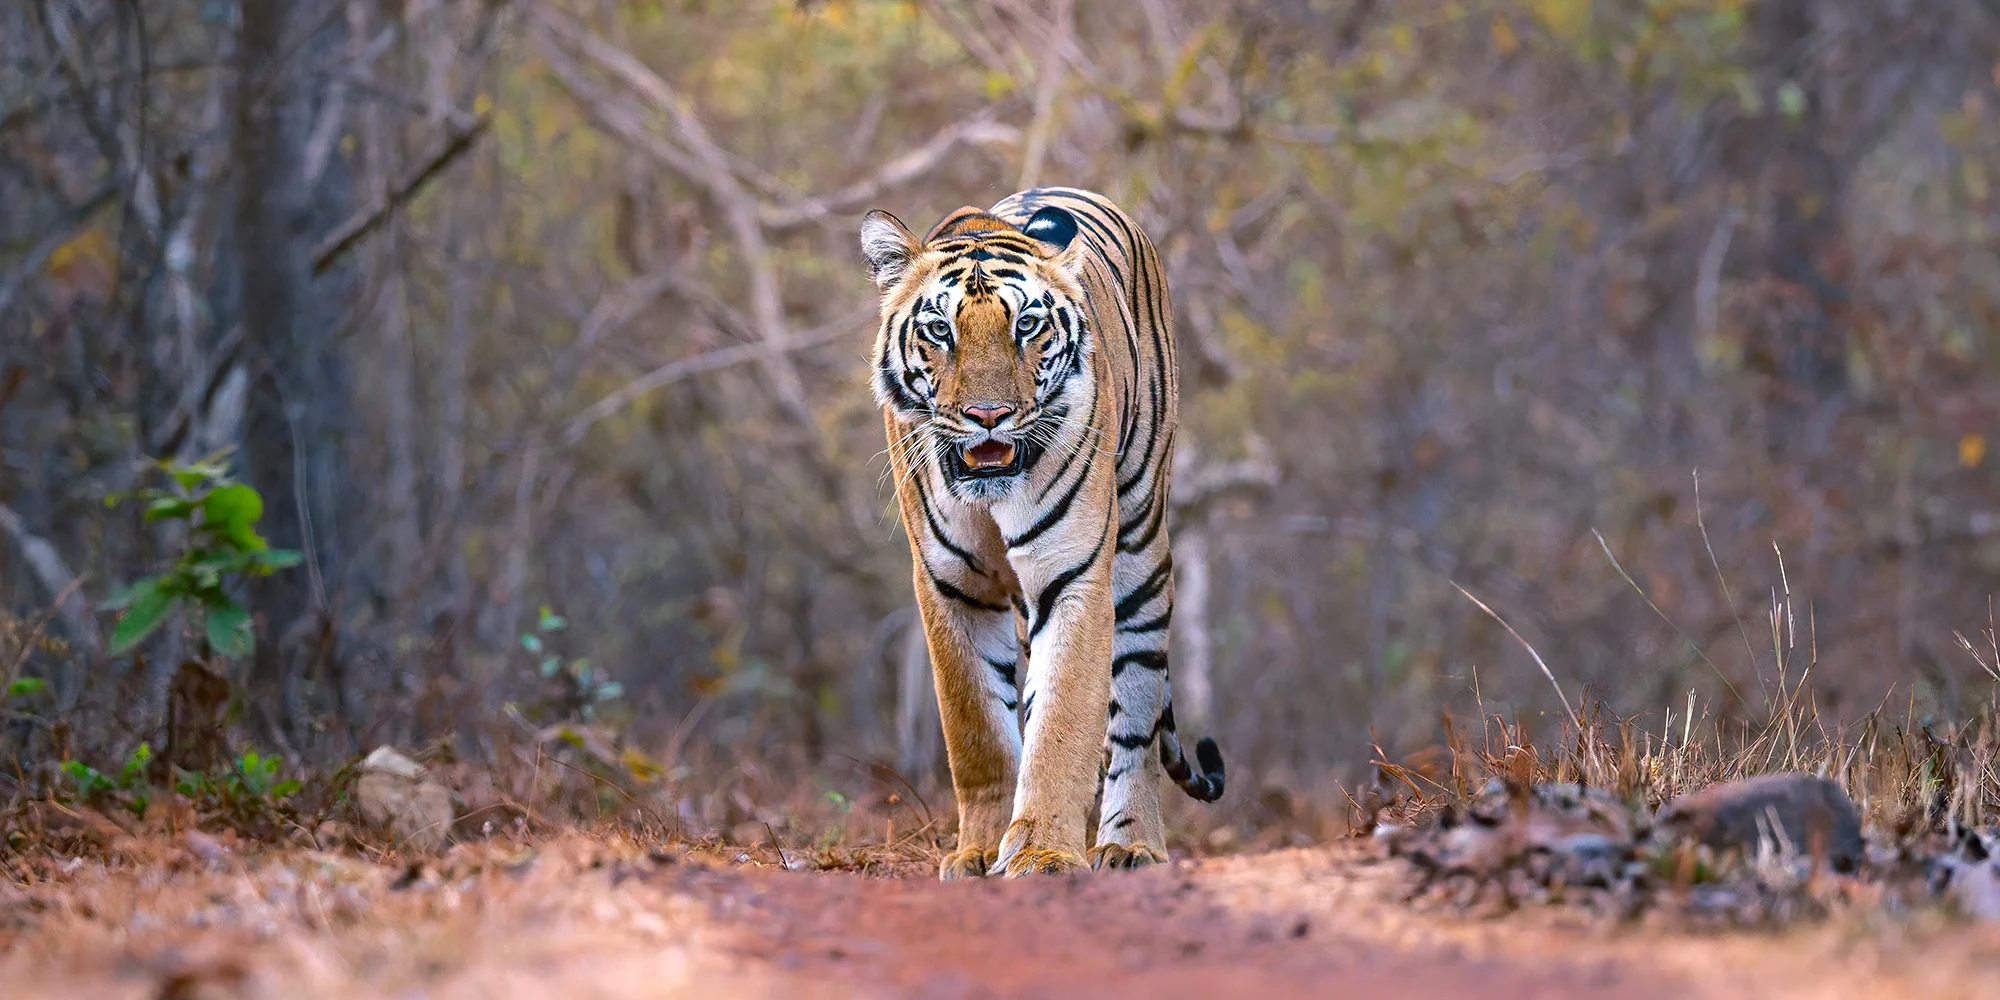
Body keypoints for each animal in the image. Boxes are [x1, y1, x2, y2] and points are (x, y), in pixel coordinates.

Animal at [859, 186, 1225, 879]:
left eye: (1026, 326)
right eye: (940, 330)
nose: (988, 416)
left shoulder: (1074, 574)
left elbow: (1061, 722)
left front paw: (1046, 852)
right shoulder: (950, 586)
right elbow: (977, 730)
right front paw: (978, 851)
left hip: (1141, 553)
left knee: (1135, 718)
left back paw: (1130, 844)